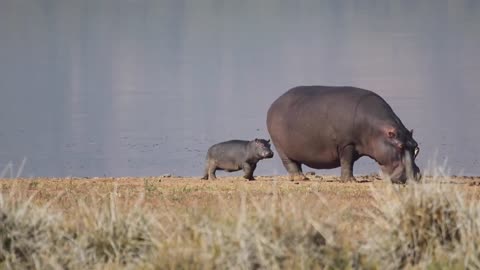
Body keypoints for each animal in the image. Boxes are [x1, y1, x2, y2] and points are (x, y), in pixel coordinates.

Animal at [266, 86, 420, 184]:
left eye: (416, 147)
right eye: (400, 146)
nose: (414, 175)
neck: (377, 131)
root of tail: (274, 103)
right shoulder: (347, 143)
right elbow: (347, 162)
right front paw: (350, 181)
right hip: (280, 147)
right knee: (290, 163)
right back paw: (300, 178)